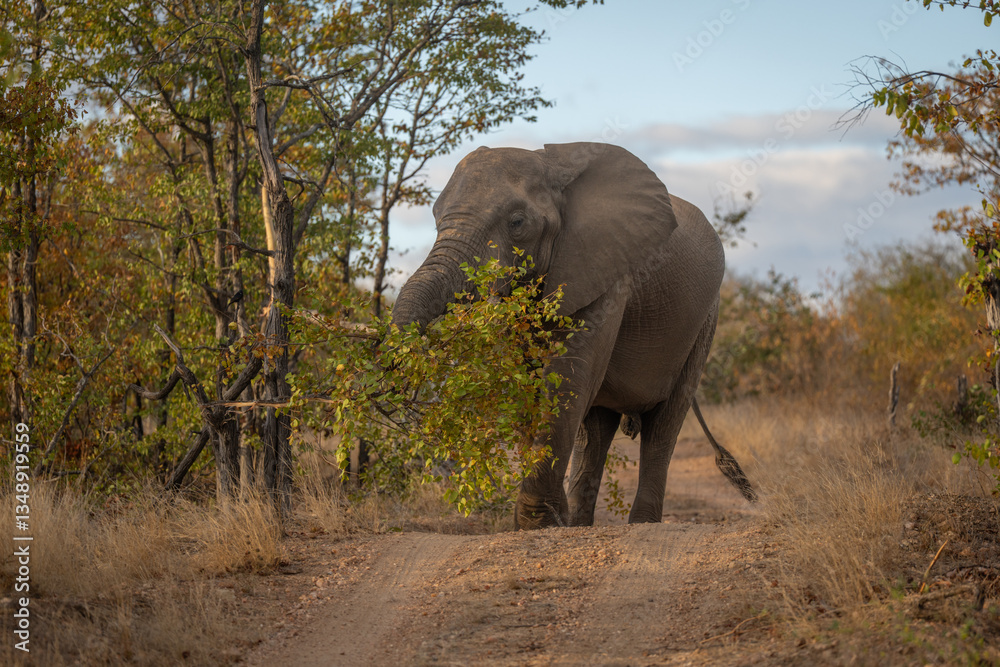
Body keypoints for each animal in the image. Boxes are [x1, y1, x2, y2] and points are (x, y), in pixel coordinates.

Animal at [392, 142, 755, 529]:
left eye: (517, 223)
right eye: (435, 219)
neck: (551, 165)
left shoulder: (607, 270)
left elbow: (567, 377)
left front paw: (540, 524)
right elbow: (534, 383)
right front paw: (539, 523)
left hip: (704, 322)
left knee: (664, 424)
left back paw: (640, 523)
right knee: (594, 428)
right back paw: (580, 523)